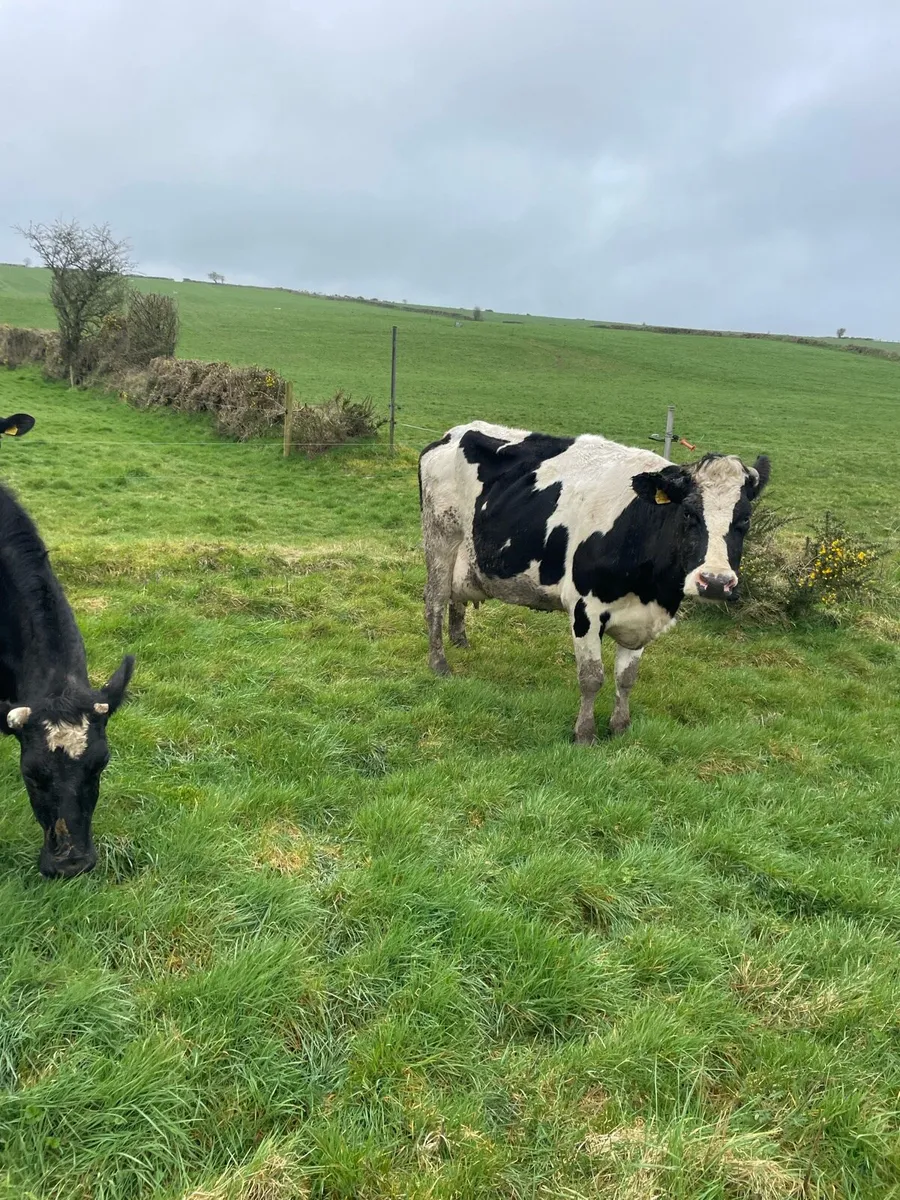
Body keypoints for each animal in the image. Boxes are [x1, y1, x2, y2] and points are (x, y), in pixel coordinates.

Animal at [419, 421, 769, 744]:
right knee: (435, 599)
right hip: (440, 536)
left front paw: (620, 726)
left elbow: (627, 678)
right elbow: (591, 677)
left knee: (456, 596)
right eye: (688, 514)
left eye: (745, 519)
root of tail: (455, 432)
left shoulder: (641, 619)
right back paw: (439, 663)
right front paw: (584, 734)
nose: (715, 581)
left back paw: (461, 640)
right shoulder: (585, 608)